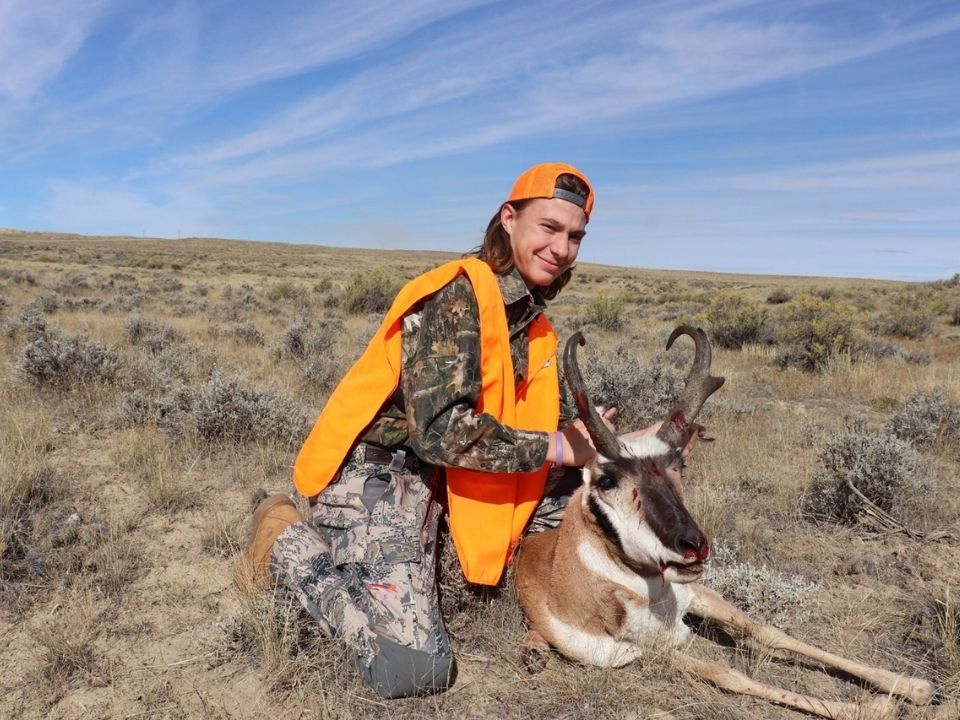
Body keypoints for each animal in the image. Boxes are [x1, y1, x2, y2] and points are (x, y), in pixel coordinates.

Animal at [514, 326, 938, 720]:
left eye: (679, 464)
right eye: (606, 480)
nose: (693, 545)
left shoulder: (700, 594)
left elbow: (768, 631)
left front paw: (915, 687)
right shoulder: (653, 651)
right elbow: (729, 674)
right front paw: (873, 707)